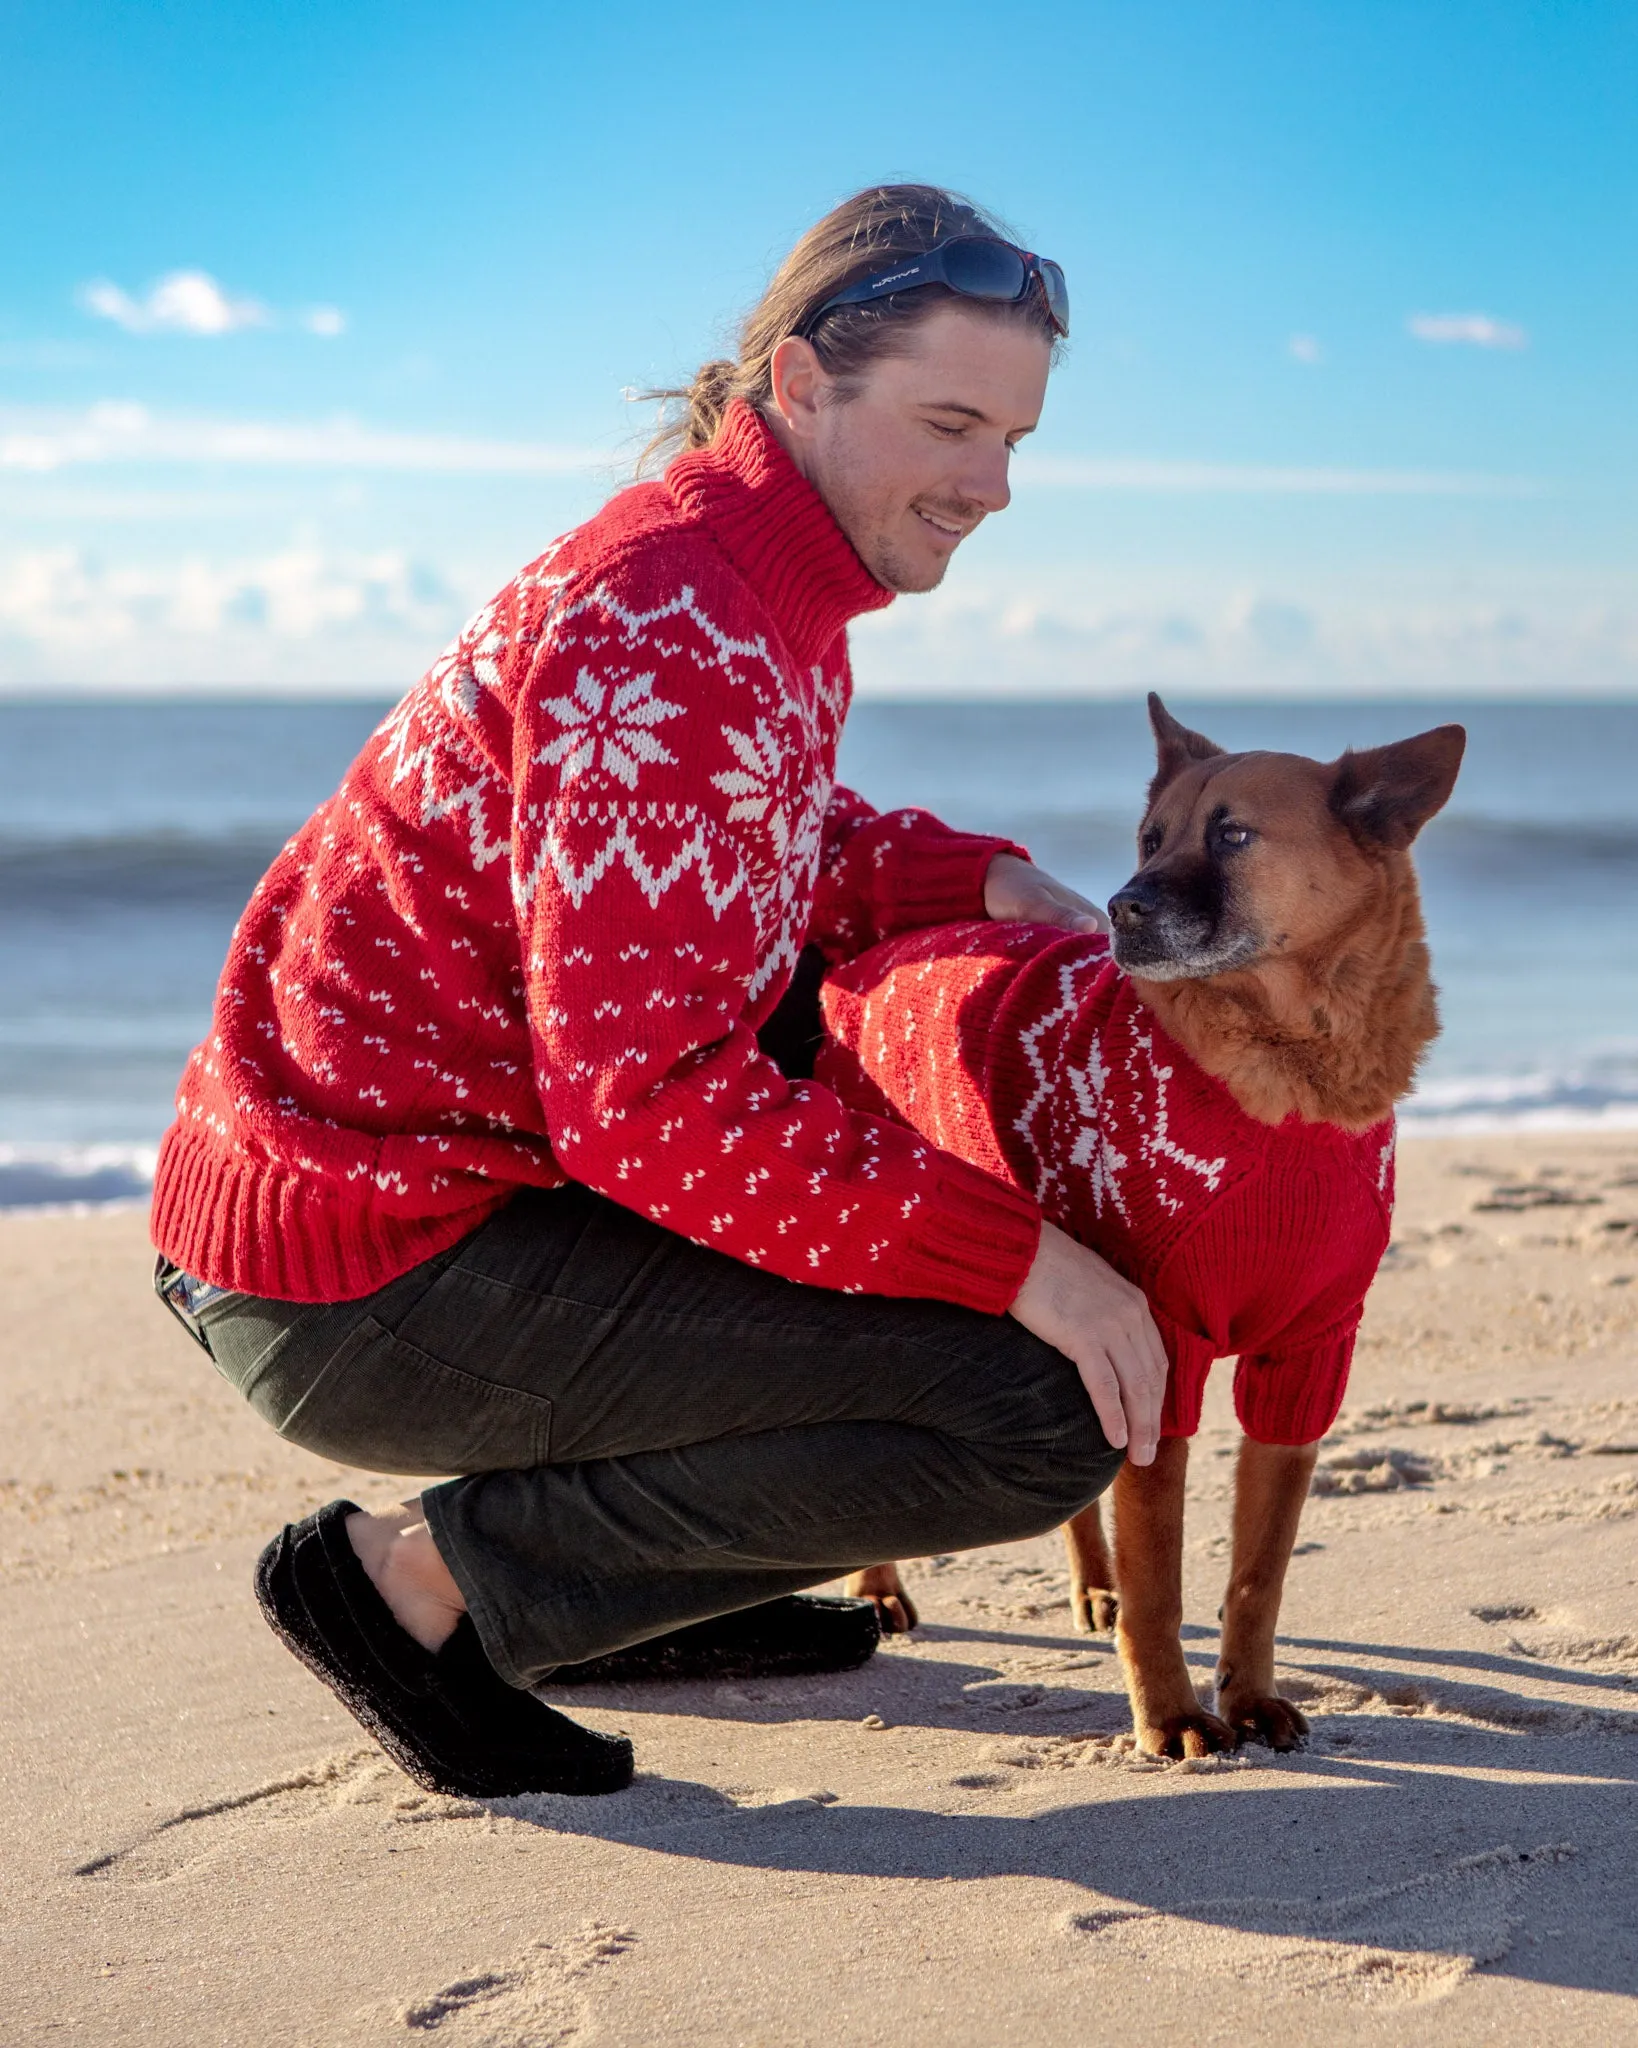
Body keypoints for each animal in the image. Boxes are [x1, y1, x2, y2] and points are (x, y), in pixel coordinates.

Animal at [827, 696, 1466, 1753]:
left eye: (1234, 835)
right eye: (1149, 838)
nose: (1121, 905)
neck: (1288, 1077)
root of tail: (864, 961)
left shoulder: (1303, 1358)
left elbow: (1257, 1576)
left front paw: (1247, 1698)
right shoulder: (1160, 1353)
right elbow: (1162, 1576)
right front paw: (1171, 1715)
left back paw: (1094, 1587)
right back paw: (877, 1587)